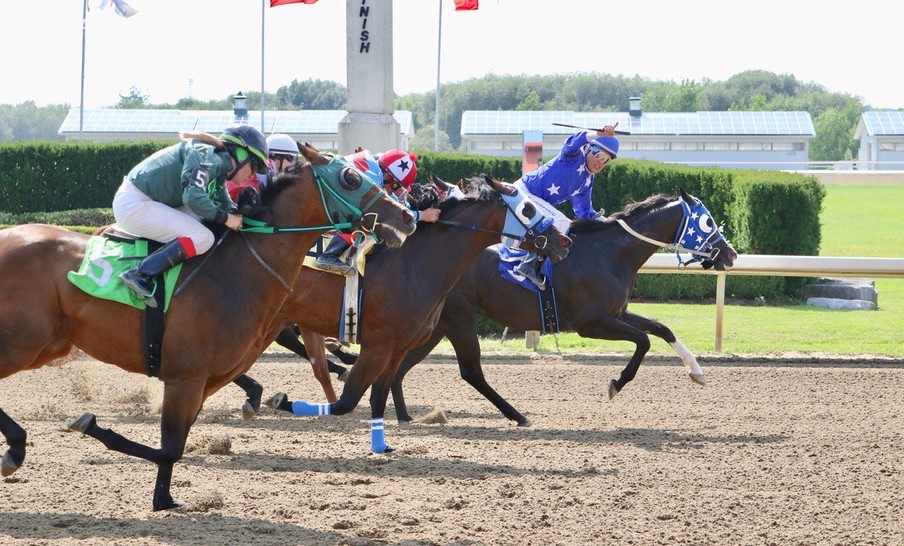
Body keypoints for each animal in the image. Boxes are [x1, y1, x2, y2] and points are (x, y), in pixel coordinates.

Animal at [254, 174, 572, 450]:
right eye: (528, 208)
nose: (564, 241)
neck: (413, 264)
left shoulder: (397, 348)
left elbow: (378, 397)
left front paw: (381, 447)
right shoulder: (378, 346)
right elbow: (348, 401)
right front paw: (279, 400)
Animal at [386, 188, 736, 424]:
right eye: (707, 222)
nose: (731, 254)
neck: (608, 254)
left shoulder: (616, 313)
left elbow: (662, 328)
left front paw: (696, 370)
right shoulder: (590, 324)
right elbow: (643, 340)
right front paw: (616, 383)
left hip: (435, 326)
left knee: (400, 366)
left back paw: (404, 416)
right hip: (459, 319)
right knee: (470, 371)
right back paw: (517, 415)